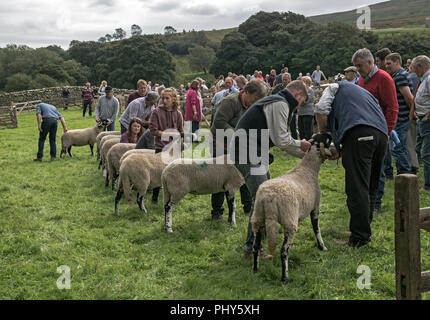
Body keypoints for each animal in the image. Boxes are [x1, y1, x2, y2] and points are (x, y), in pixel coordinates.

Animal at [250, 142, 330, 282]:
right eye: (327, 140)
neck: (308, 168)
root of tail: (269, 197)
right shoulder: (315, 207)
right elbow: (316, 229)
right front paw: (322, 247)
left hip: (258, 218)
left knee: (255, 246)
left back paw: (255, 269)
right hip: (289, 221)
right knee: (284, 251)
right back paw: (285, 277)